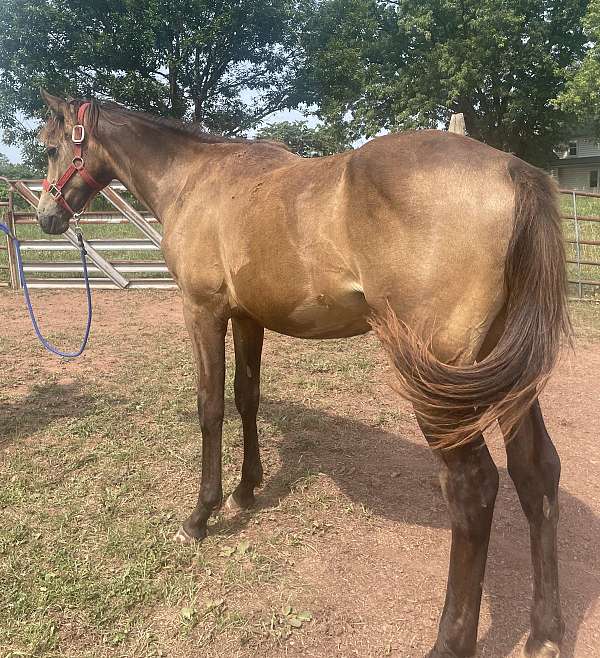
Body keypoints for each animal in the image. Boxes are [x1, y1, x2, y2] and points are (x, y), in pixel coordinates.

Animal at [35, 90, 570, 658]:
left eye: (48, 147)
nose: (46, 215)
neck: (195, 180)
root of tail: (514, 171)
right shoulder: (248, 318)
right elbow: (246, 397)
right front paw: (247, 490)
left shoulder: (203, 312)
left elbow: (211, 407)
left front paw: (200, 516)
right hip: (506, 375)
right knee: (536, 472)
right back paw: (546, 633)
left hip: (440, 384)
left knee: (473, 490)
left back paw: (450, 641)